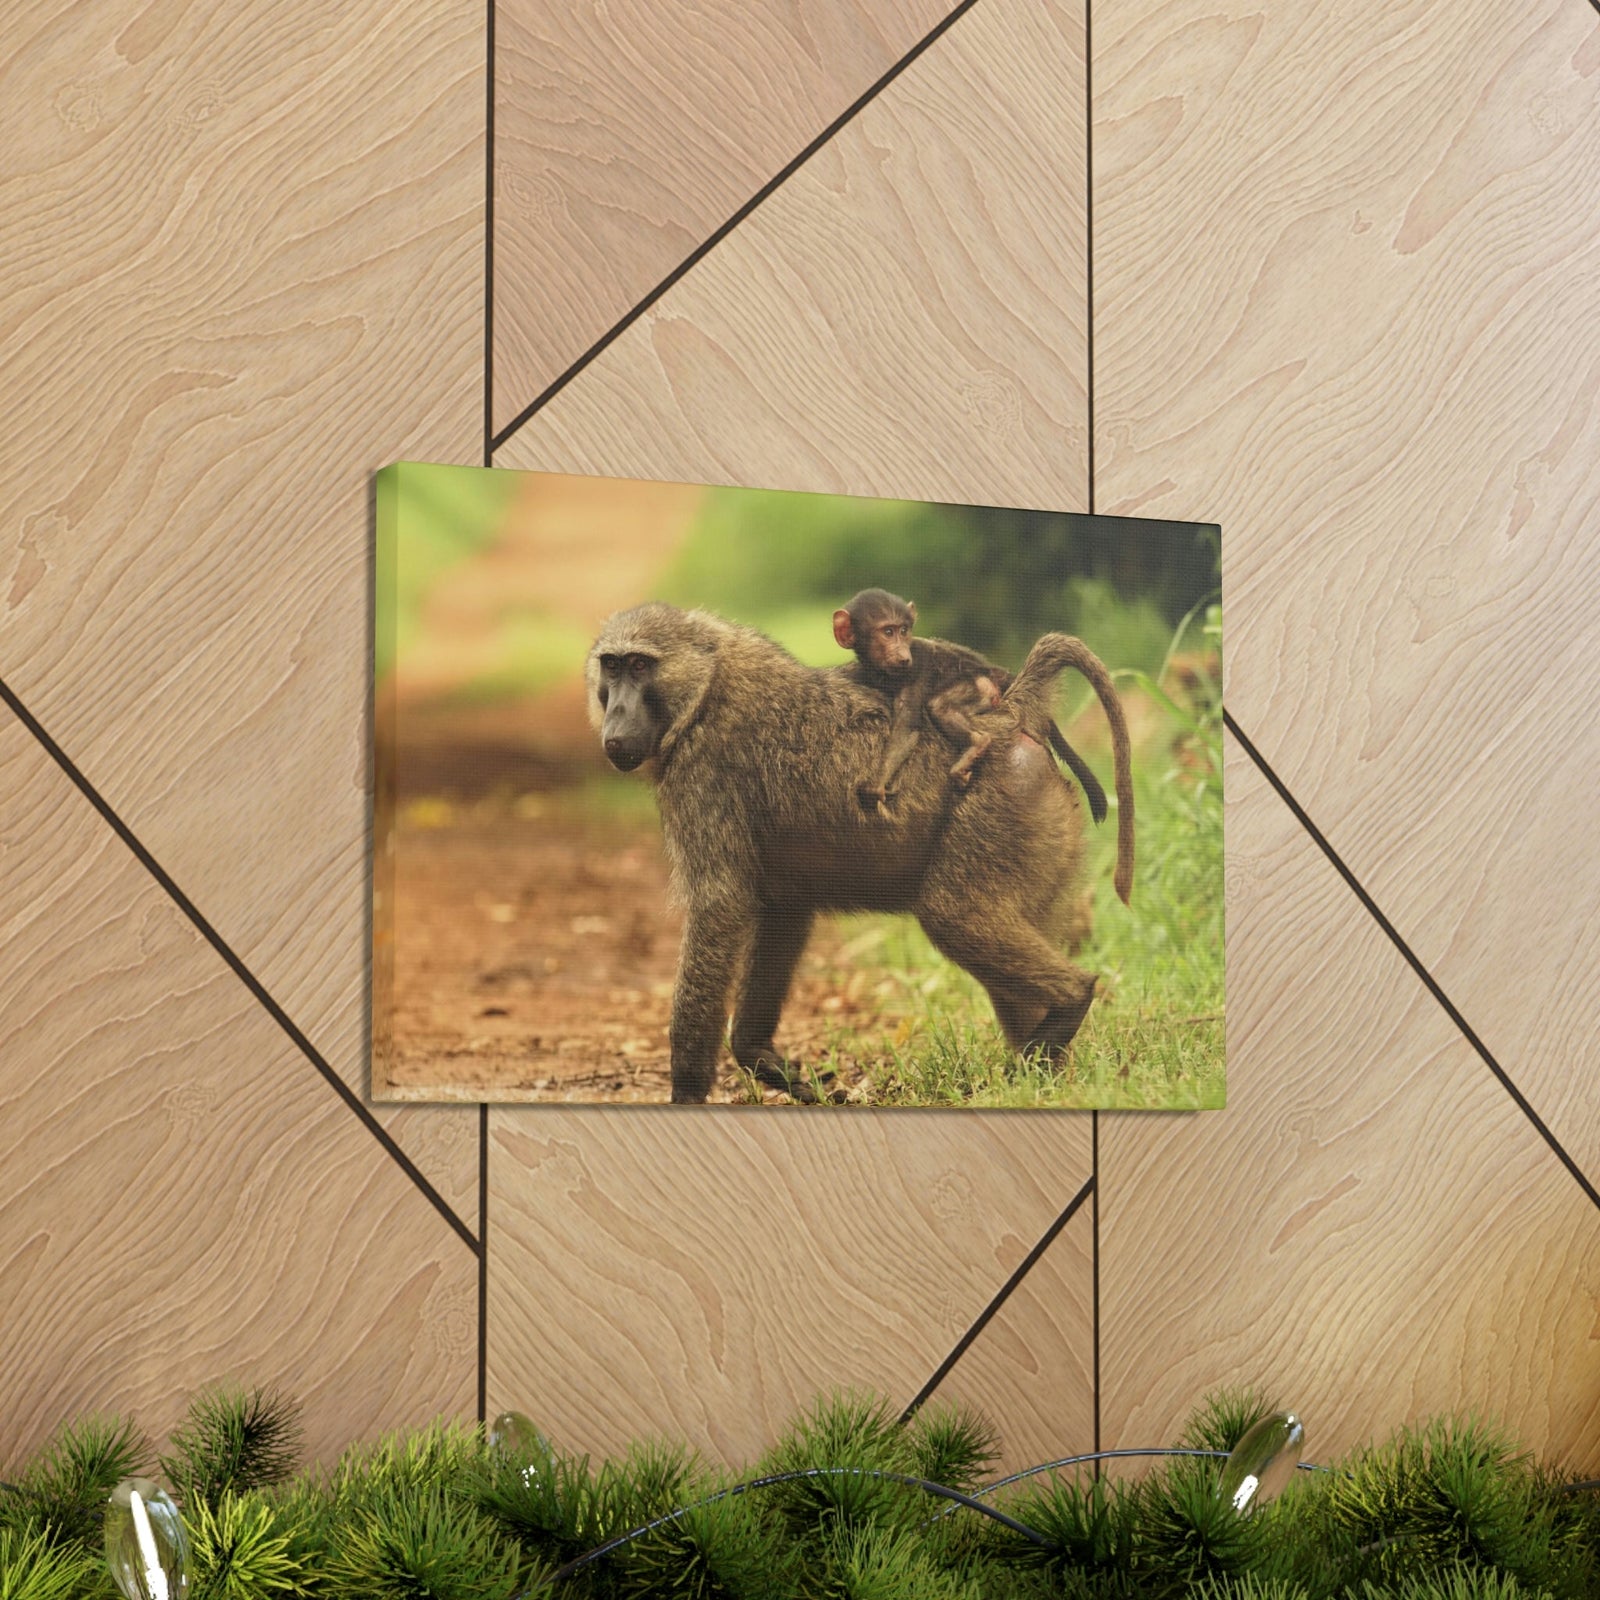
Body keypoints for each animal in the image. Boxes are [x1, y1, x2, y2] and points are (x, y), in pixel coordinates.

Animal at [832, 588, 1109, 825]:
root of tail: (994, 671)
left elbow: (907, 726)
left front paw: (877, 784)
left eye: (903, 630)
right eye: (888, 632)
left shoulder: (918, 665)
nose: (902, 655)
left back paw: (977, 743)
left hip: (982, 688)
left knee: (940, 706)